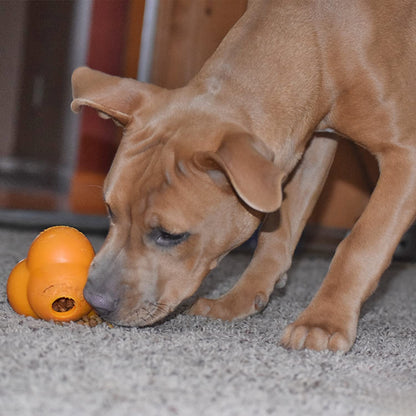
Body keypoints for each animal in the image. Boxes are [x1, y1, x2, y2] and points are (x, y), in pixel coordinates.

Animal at [71, 0, 416, 352]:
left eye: (170, 235)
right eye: (110, 210)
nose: (95, 301)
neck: (320, 35)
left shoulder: (404, 154)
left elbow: (359, 244)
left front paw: (323, 320)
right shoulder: (311, 145)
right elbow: (277, 233)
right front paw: (240, 298)